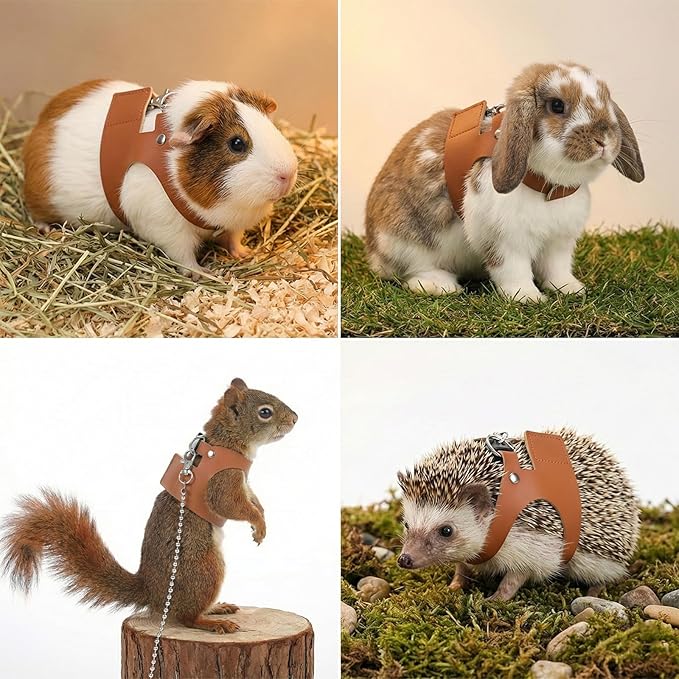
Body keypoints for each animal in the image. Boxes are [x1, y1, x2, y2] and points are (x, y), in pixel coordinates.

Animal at [1, 378, 297, 634]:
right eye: (265, 412)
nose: (295, 418)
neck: (227, 442)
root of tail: (152, 591)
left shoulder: (244, 483)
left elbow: (253, 500)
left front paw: (262, 520)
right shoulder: (222, 482)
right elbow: (231, 506)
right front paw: (258, 524)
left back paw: (217, 608)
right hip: (205, 569)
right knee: (187, 616)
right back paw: (211, 622)